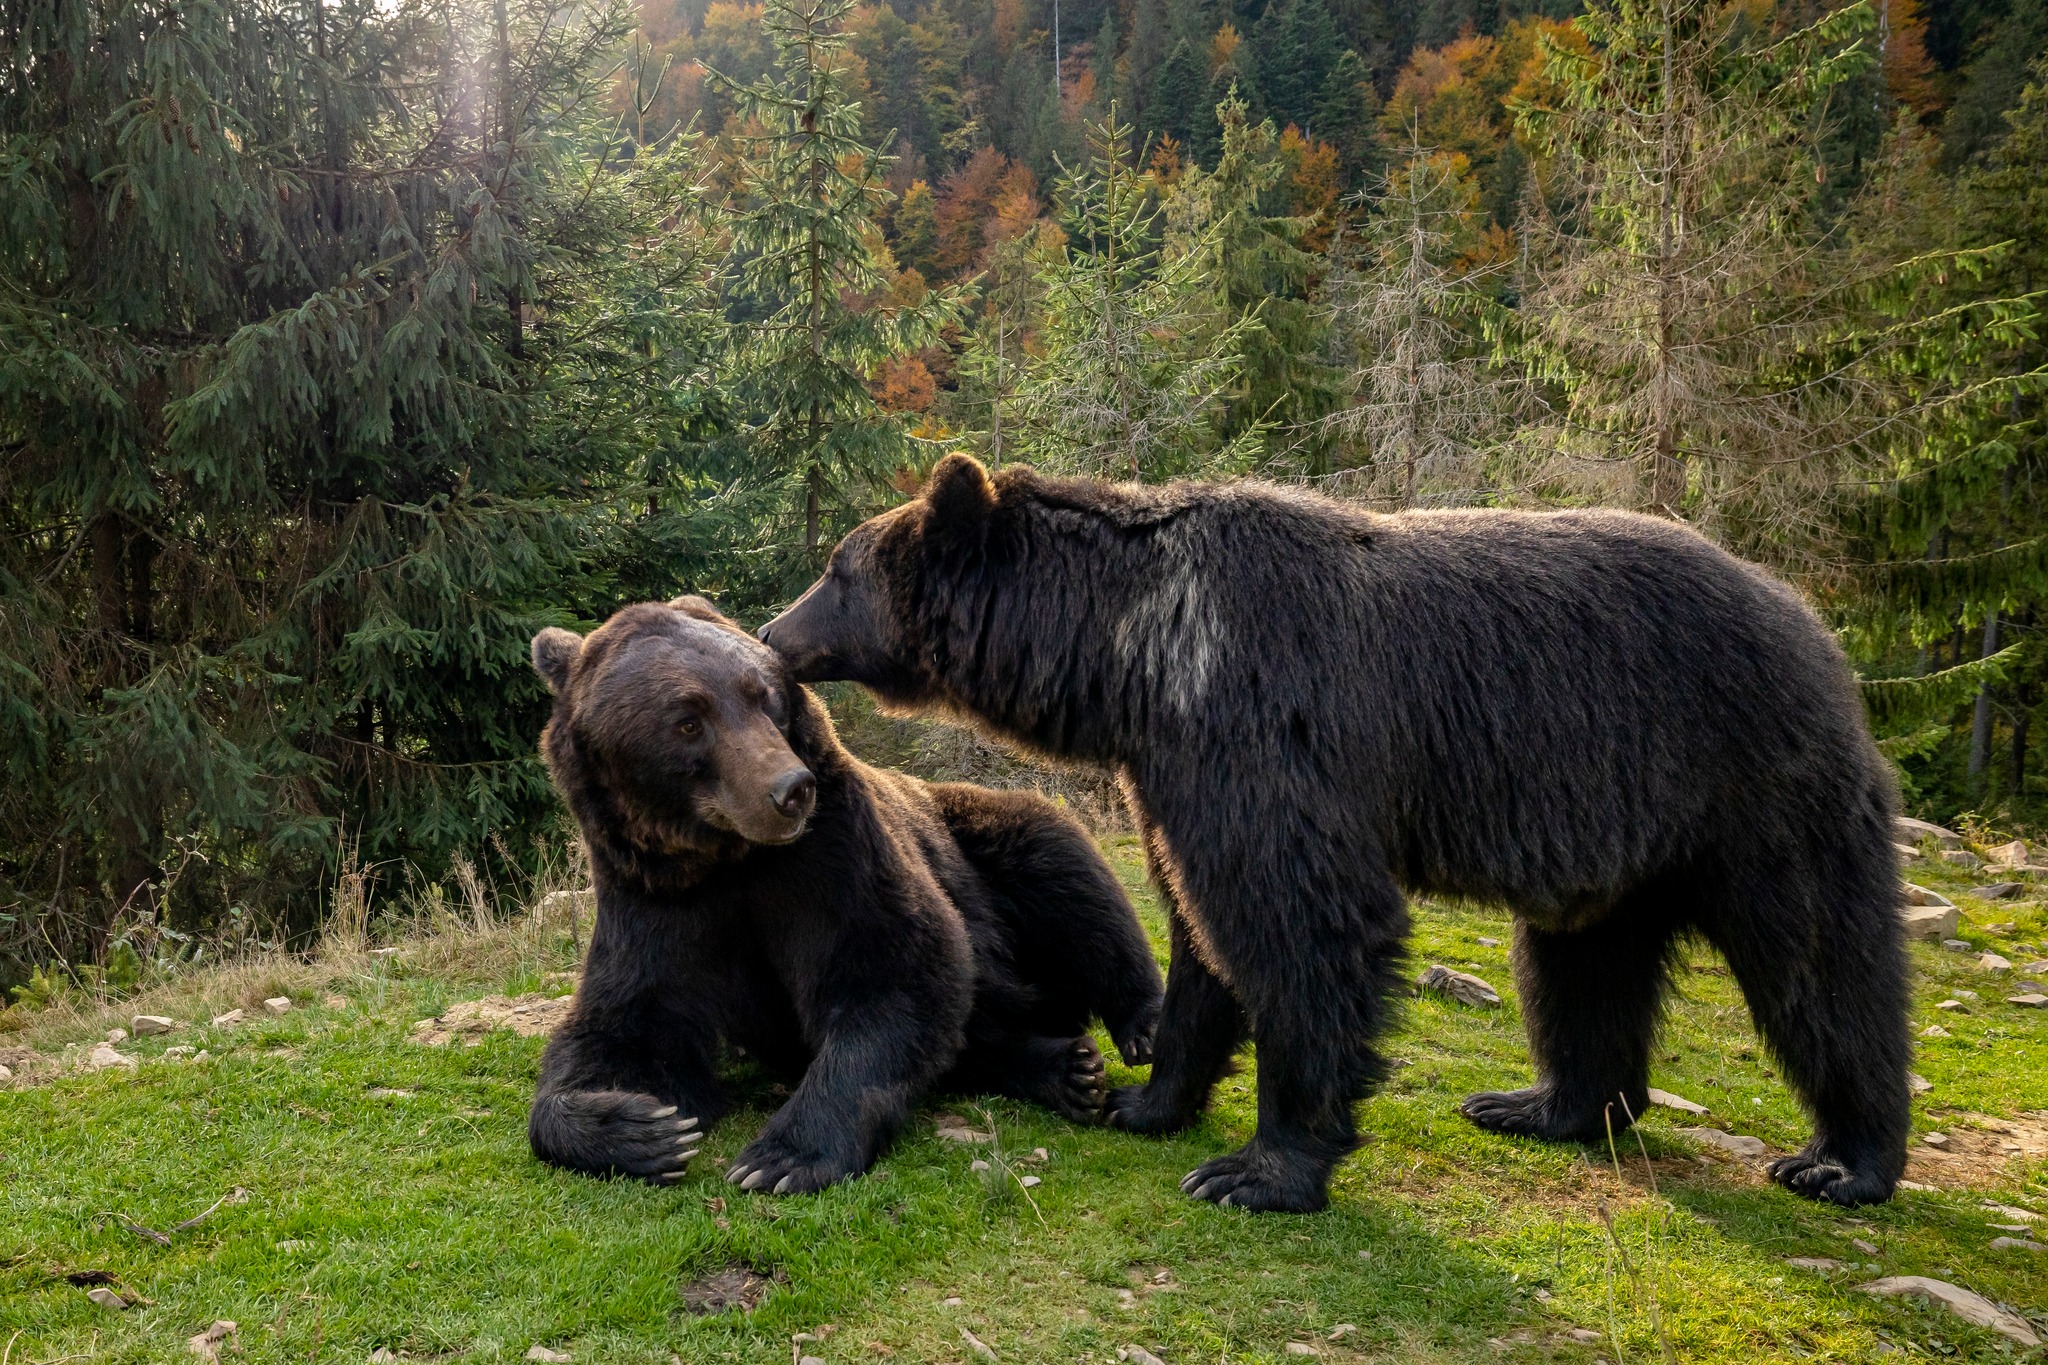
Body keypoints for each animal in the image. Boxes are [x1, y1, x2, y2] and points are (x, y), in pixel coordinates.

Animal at [528, 597, 1171, 1195]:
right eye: (688, 720)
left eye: (763, 695)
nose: (790, 789)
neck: (727, 858)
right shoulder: (654, 899)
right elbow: (623, 1028)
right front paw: (640, 1127)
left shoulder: (833, 855)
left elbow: (893, 968)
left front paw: (782, 1158)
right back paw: (1068, 1071)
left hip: (979, 838)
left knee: (1067, 878)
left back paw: (1141, 1025)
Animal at [761, 454, 1908, 1211]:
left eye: (837, 569)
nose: (772, 632)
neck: (1130, 660)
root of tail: (1812, 621)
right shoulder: (1171, 773)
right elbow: (1200, 930)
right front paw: (1147, 1097)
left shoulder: (1261, 725)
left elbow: (1300, 923)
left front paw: (1257, 1166)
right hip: (1610, 839)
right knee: (1580, 970)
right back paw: (1543, 1104)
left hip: (1748, 784)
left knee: (1818, 961)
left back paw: (1841, 1157)